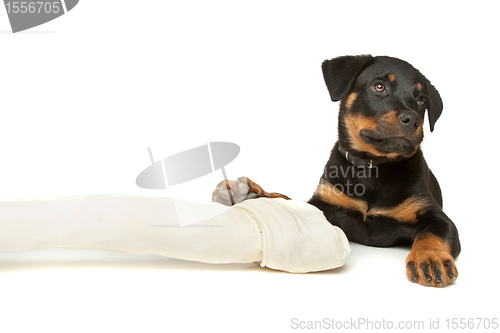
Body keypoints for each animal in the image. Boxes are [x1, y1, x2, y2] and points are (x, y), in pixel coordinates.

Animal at [211, 54, 460, 286]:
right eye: (379, 87)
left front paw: (430, 259)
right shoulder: (326, 205)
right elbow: (290, 203)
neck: (373, 167)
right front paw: (253, 194)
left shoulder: (437, 218)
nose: (413, 119)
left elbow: (431, 234)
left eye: (422, 99)